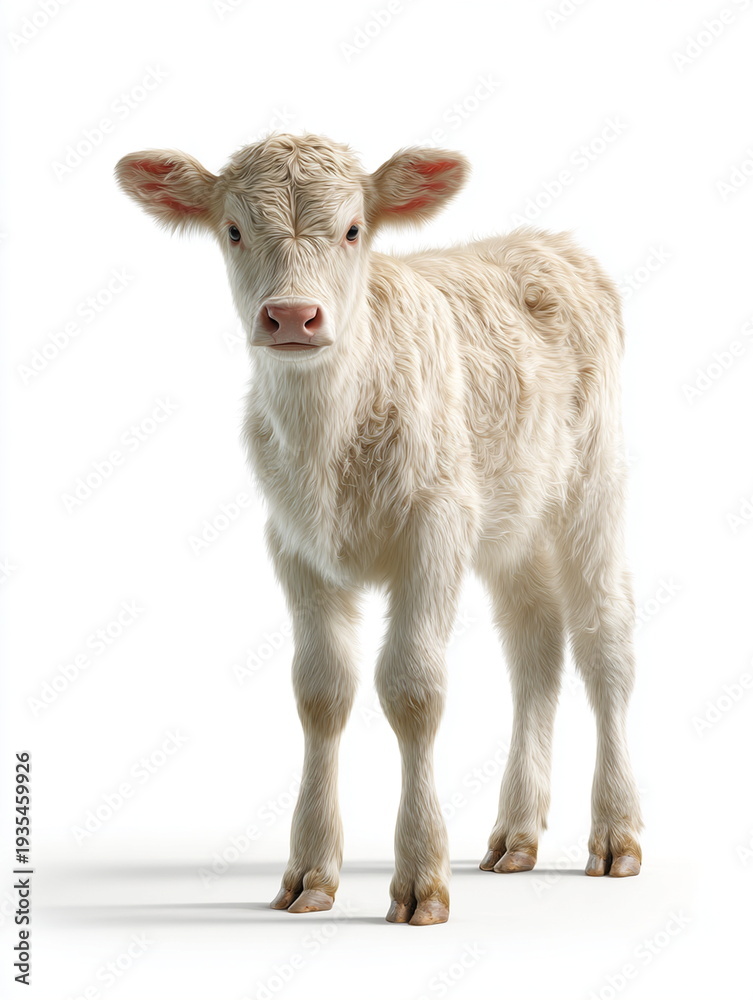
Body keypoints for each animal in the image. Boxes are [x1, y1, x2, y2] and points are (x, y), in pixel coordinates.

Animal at [116, 133, 642, 925]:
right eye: (233, 230)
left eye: (353, 229)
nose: (292, 317)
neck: (331, 435)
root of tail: (550, 243)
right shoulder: (293, 544)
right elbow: (320, 691)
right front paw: (310, 873)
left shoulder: (436, 523)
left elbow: (412, 688)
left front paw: (420, 878)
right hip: (509, 514)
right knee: (534, 644)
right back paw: (516, 835)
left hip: (590, 486)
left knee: (603, 641)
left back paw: (614, 835)